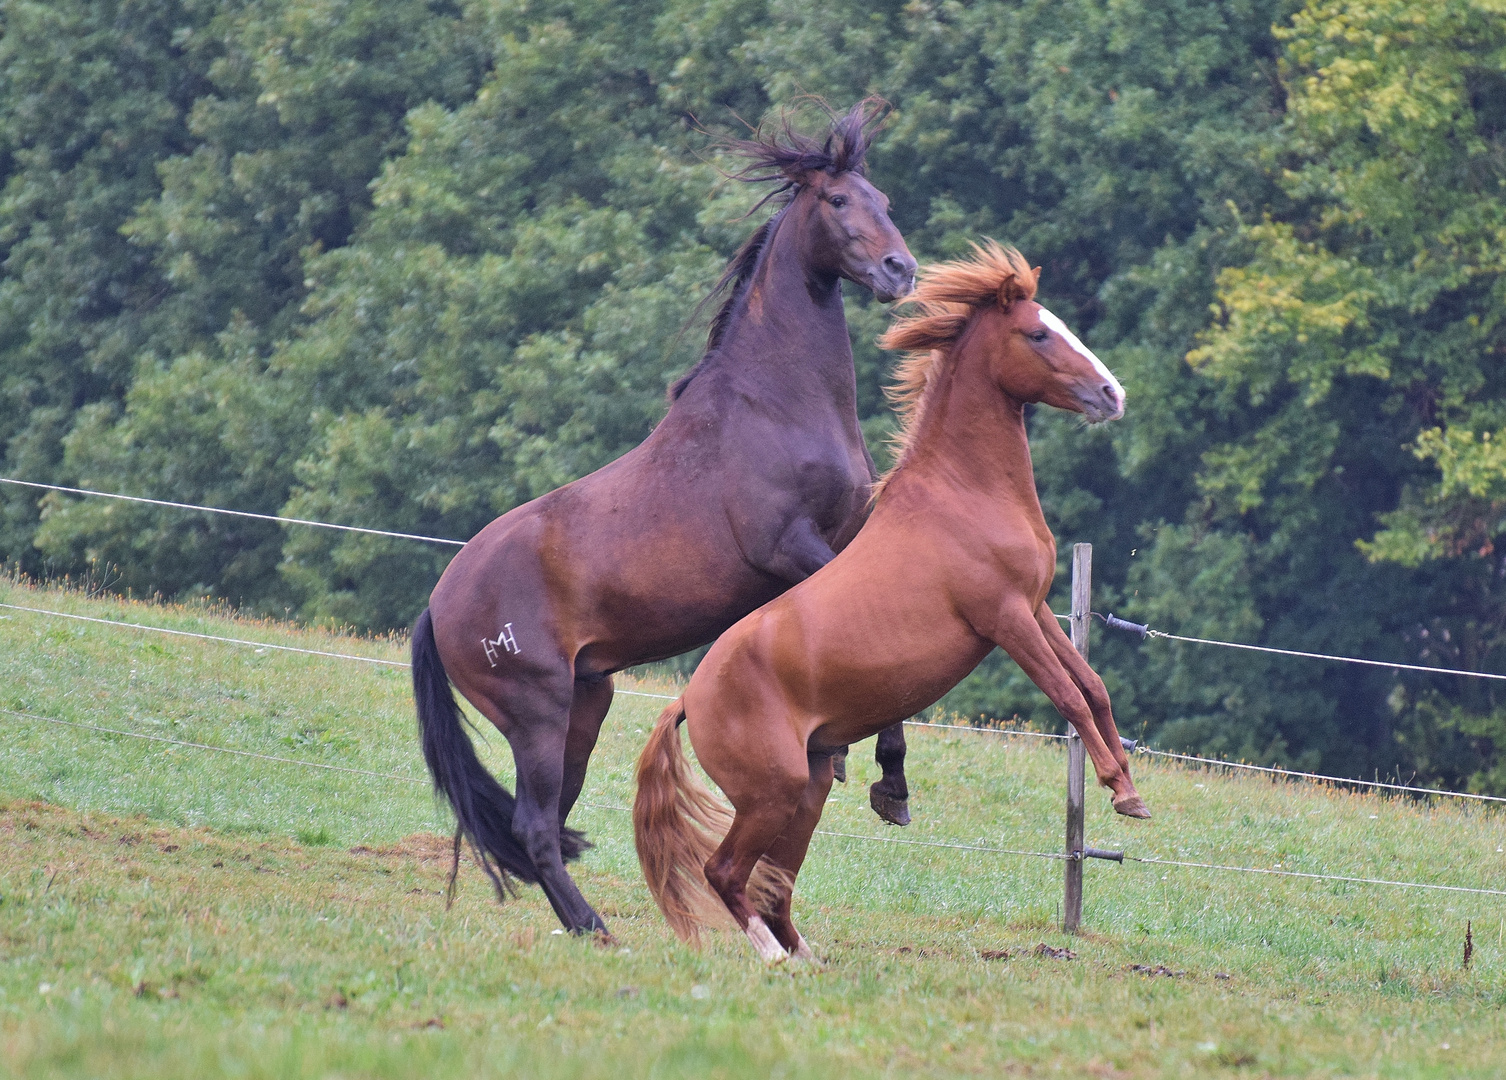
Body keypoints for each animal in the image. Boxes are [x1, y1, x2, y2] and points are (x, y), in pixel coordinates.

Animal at [418, 105, 921, 939]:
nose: (899, 271)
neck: (777, 404)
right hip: (538, 715)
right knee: (533, 827)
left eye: (882, 196)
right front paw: (888, 780)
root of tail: (438, 601)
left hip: (587, 705)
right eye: (838, 200)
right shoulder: (793, 549)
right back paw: (598, 931)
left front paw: (860, 764)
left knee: (543, 826)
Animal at [629, 239, 1144, 957]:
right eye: (1038, 333)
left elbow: (1093, 686)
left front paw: (1128, 784)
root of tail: (688, 699)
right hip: (772, 793)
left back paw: (807, 957)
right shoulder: (1004, 618)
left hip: (808, 788)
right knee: (726, 871)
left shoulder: (1037, 606)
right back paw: (776, 960)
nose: (1111, 393)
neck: (964, 491)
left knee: (773, 882)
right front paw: (1121, 793)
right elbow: (1067, 695)